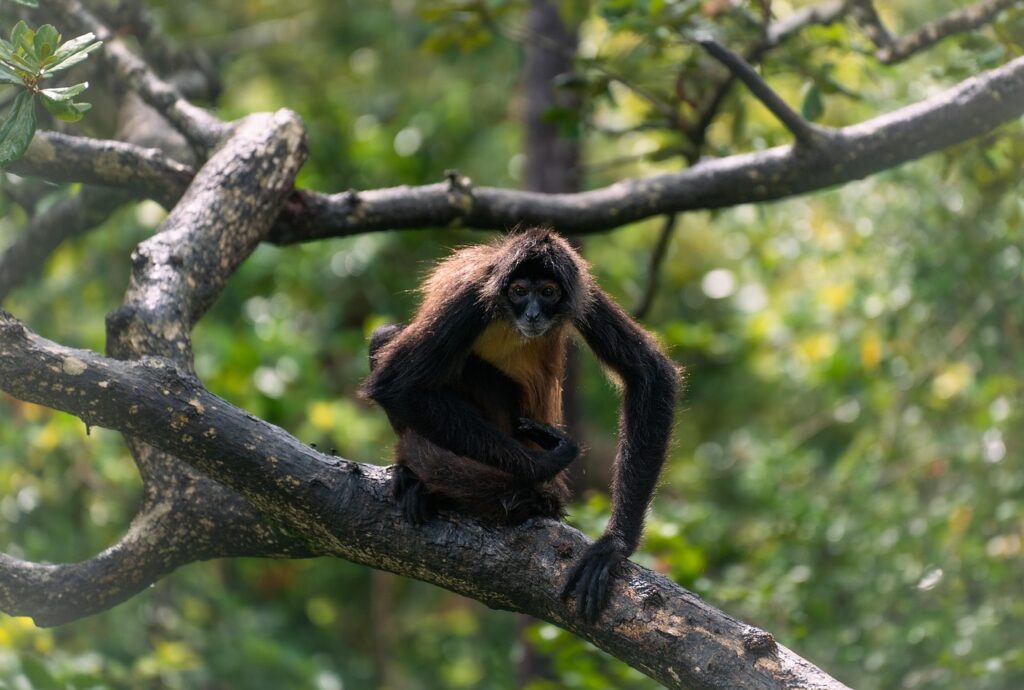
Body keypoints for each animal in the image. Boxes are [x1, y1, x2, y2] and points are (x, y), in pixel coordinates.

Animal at [361, 228, 680, 621]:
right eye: (519, 291)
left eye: (547, 292)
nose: (532, 312)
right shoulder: (470, 298)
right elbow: (394, 385)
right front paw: (542, 464)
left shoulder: (581, 288)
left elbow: (651, 375)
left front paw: (613, 545)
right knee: (387, 337)